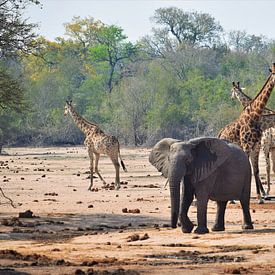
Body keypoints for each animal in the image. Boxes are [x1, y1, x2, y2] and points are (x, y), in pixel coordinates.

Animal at [220, 63, 275, 204]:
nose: (231, 97)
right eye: (273, 72)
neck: (255, 115)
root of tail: (220, 133)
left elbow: (257, 170)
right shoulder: (251, 146)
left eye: (232, 91)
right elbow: (252, 169)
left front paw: (261, 196)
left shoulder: (259, 146)